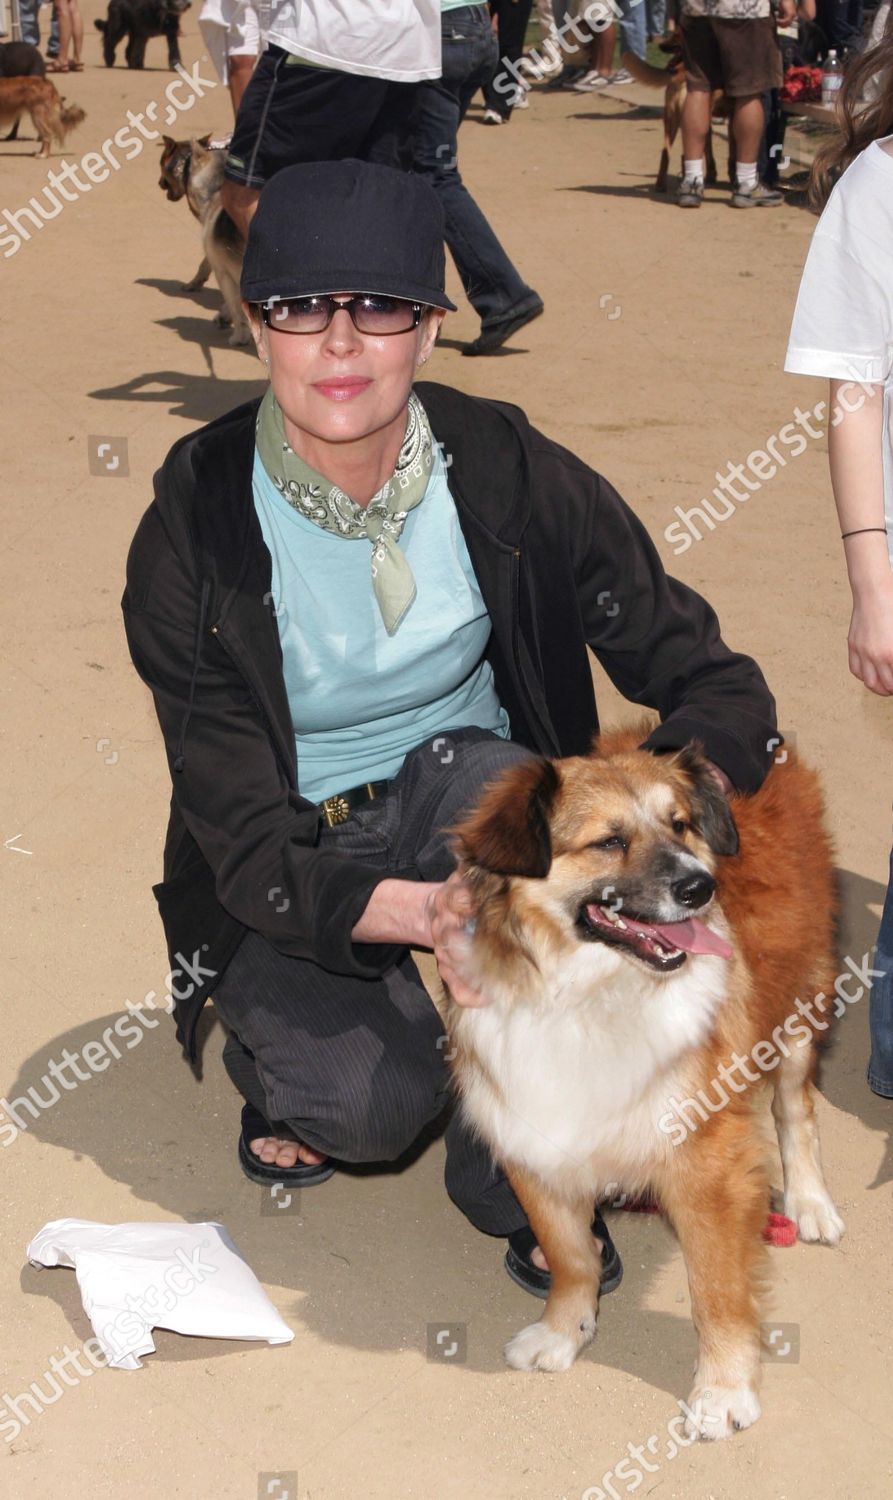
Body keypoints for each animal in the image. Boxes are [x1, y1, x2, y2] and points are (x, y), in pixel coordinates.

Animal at [447, 726, 846, 1440]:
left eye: (680, 825)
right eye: (608, 841)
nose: (701, 886)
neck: (591, 996)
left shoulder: (709, 1169)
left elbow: (716, 1288)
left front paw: (724, 1388)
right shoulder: (534, 1144)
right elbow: (572, 1256)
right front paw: (564, 1332)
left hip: (801, 1003)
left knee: (795, 1109)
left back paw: (809, 1201)